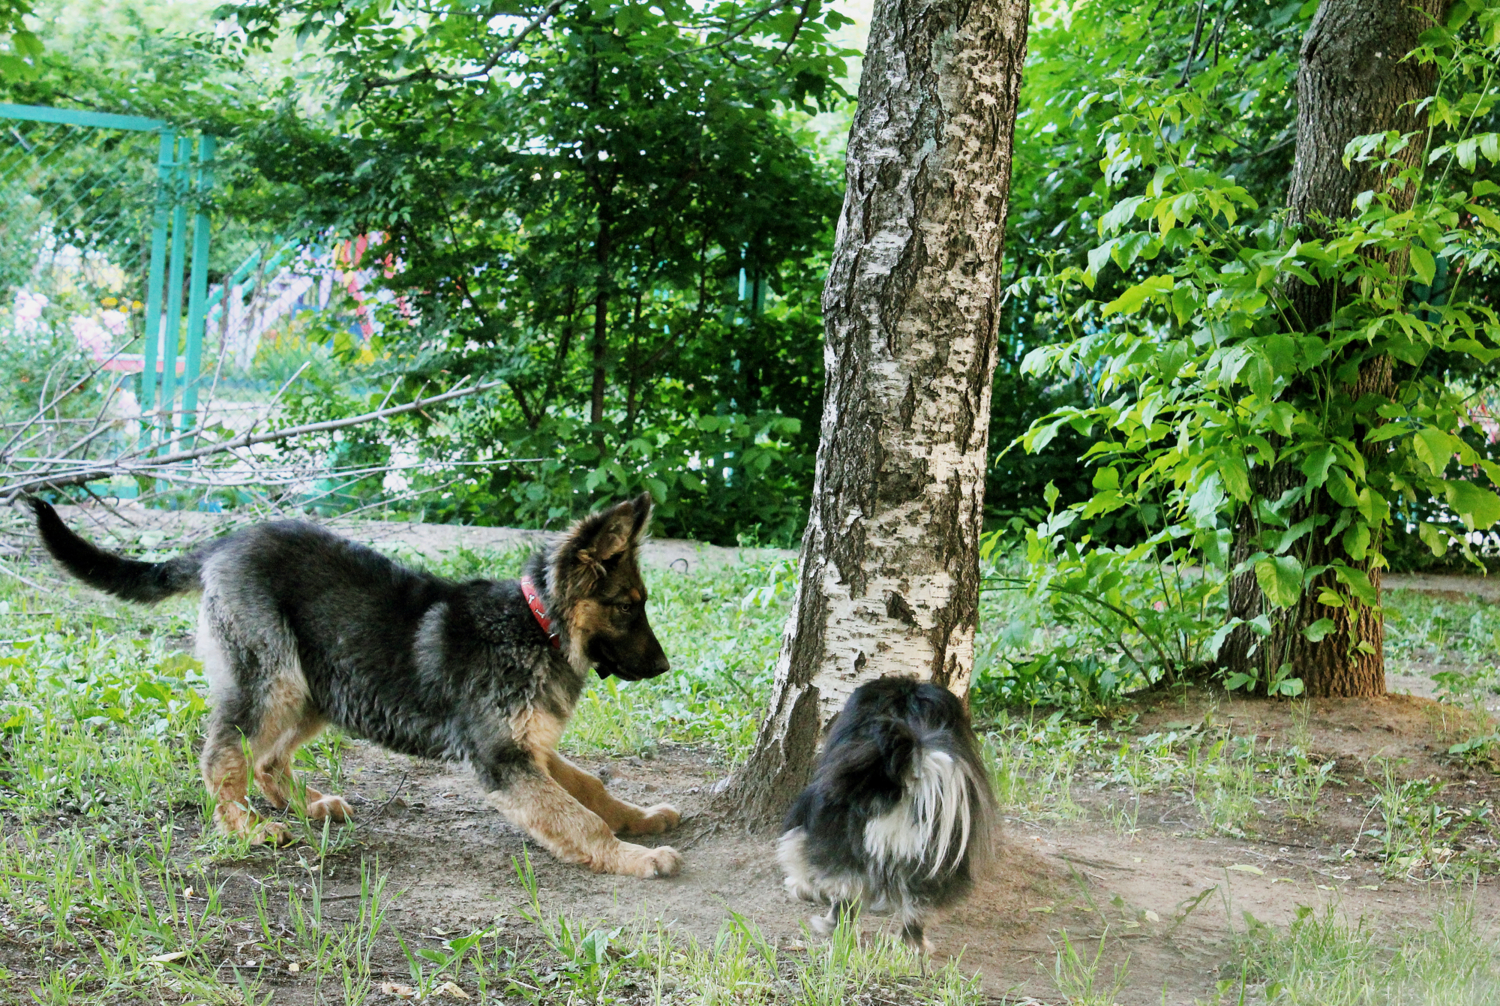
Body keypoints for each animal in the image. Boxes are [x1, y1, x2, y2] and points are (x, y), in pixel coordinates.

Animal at [32, 494, 687, 881]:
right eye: (627, 607)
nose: (663, 667)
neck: (535, 623)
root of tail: (223, 542)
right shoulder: (504, 759)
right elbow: (580, 819)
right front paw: (631, 856)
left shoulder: (534, 750)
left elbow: (594, 791)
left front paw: (640, 820)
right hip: (273, 680)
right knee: (223, 757)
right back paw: (245, 826)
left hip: (321, 686)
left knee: (266, 759)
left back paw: (308, 805)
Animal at [774, 677, 996, 953]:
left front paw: (800, 886)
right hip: (931, 863)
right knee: (915, 908)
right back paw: (912, 946)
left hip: (840, 844)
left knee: (845, 895)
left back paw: (834, 928)